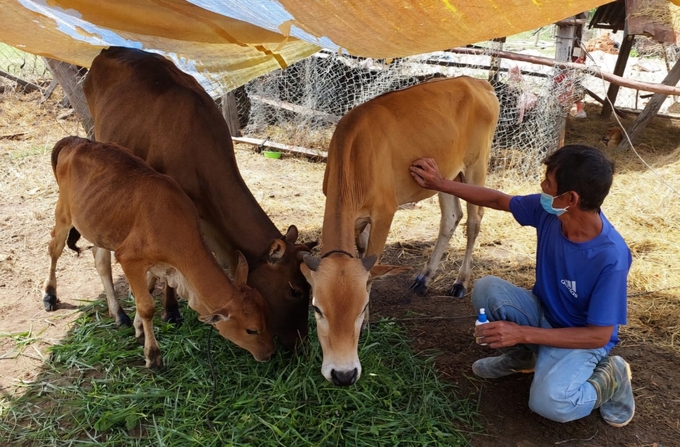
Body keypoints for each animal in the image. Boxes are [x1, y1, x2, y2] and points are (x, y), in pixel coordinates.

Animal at [44, 136, 276, 368]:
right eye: (251, 330)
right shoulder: (129, 259)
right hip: (64, 215)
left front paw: (138, 327)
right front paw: (153, 356)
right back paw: (50, 295)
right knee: (54, 248)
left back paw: (119, 314)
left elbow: (147, 288)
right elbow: (146, 306)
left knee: (100, 261)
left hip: (100, 226)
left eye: (268, 317)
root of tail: (74, 141)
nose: (270, 353)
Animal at [83, 48, 316, 350]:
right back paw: (118, 312)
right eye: (295, 290)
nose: (300, 341)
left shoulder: (205, 216)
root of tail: (108, 50)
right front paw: (165, 312)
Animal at [302, 76, 500, 384]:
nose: (343, 375)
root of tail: (478, 82)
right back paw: (423, 279)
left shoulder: (385, 212)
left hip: (476, 165)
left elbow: (372, 263)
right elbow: (362, 253)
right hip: (446, 173)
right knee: (451, 217)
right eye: (316, 308)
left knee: (474, 221)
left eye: (360, 307)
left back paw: (459, 282)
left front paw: (368, 323)